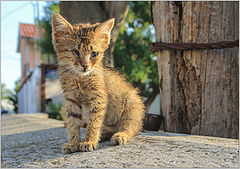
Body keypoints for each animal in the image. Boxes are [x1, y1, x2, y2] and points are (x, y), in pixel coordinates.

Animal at [51, 13, 143, 153]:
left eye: (94, 53)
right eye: (75, 51)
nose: (85, 66)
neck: (80, 78)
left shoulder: (99, 98)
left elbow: (94, 121)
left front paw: (89, 141)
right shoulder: (71, 99)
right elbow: (73, 122)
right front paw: (73, 143)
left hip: (132, 103)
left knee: (131, 127)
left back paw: (120, 135)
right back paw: (103, 134)